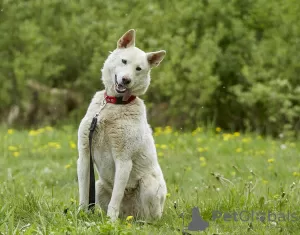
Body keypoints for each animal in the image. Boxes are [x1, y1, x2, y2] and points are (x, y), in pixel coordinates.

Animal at [77, 29, 166, 222]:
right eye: (124, 61)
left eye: (139, 69)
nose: (125, 80)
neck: (113, 104)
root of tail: (130, 214)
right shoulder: (84, 155)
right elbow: (83, 192)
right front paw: (80, 214)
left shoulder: (123, 160)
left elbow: (116, 197)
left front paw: (111, 222)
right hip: (99, 185)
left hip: (148, 185)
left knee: (149, 216)